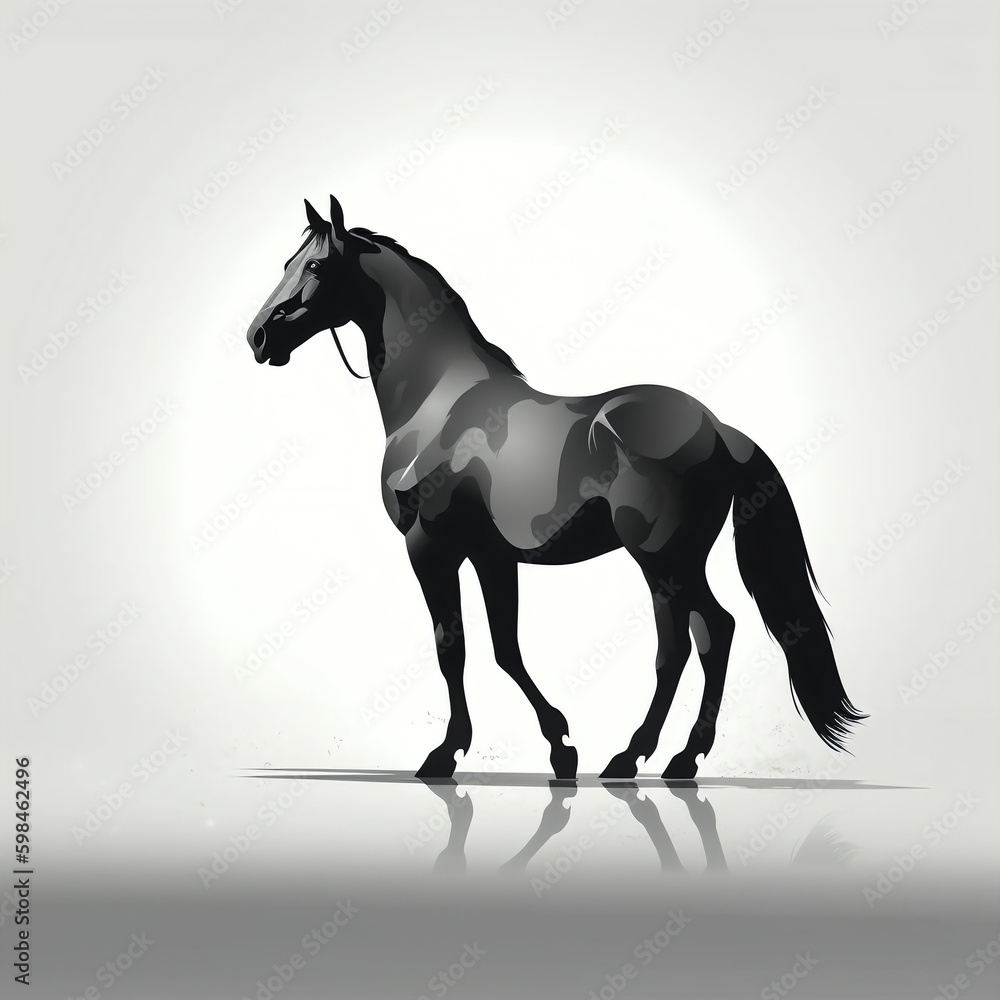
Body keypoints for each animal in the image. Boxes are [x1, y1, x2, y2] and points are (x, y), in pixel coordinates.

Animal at [246, 195, 866, 781]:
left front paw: (446, 753)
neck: (437, 403)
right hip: (681, 562)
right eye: (287, 262)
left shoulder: (429, 547)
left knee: (693, 640)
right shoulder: (491, 555)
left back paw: (642, 757)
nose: (259, 336)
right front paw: (559, 747)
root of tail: (719, 429)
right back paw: (671, 758)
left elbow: (453, 650)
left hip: (662, 560)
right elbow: (505, 648)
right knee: (709, 636)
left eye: (318, 265)